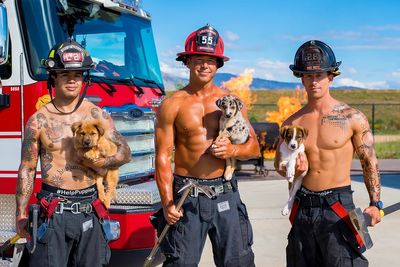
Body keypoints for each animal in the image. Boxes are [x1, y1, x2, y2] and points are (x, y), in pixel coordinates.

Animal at [15, 39, 131, 267]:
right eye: (82, 133)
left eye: (93, 134)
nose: (86, 141)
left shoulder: (106, 148)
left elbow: (106, 149)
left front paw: (94, 152)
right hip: (98, 178)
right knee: (101, 186)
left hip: (111, 173)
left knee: (109, 189)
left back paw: (106, 198)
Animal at [153, 24, 260, 266]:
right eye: (225, 105)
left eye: (233, 107)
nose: (228, 113)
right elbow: (219, 134)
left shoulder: (234, 130)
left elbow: (228, 137)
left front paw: (220, 141)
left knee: (231, 160)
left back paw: (228, 169)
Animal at [274, 40, 382, 267]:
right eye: (288, 137)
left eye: (299, 137)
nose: (293, 145)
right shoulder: (280, 157)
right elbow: (283, 162)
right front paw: (288, 166)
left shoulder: (300, 156)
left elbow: (294, 161)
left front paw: (292, 166)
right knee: (290, 197)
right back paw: (287, 208)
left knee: (292, 192)